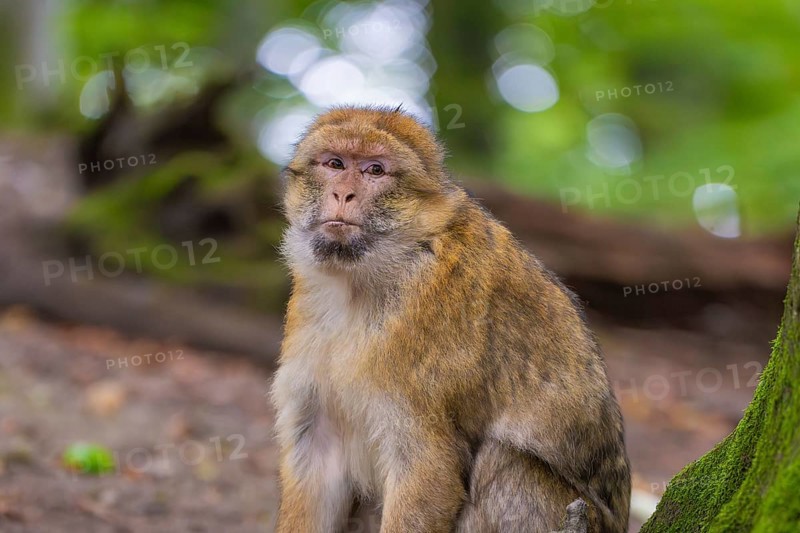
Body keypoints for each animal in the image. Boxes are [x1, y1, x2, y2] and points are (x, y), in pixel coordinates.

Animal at [270, 106, 631, 533]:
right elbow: (318, 459)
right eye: (335, 164)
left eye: (375, 170)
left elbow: (429, 470)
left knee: (504, 462)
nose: (343, 193)